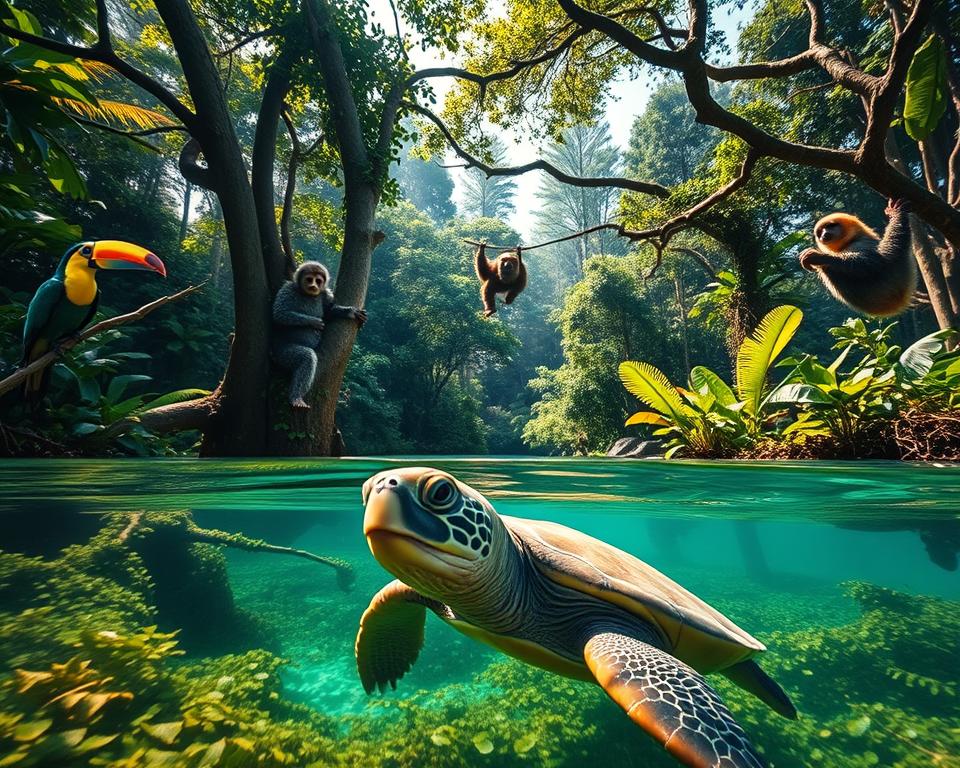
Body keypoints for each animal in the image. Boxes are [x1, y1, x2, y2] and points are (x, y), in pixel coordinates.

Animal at [271, 261, 366, 409]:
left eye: (318, 281)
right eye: (309, 279)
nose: (313, 286)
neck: (309, 295)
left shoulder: (325, 294)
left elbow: (329, 311)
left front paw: (349, 312)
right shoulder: (287, 288)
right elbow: (279, 313)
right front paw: (314, 322)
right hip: (280, 352)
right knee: (308, 358)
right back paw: (296, 397)